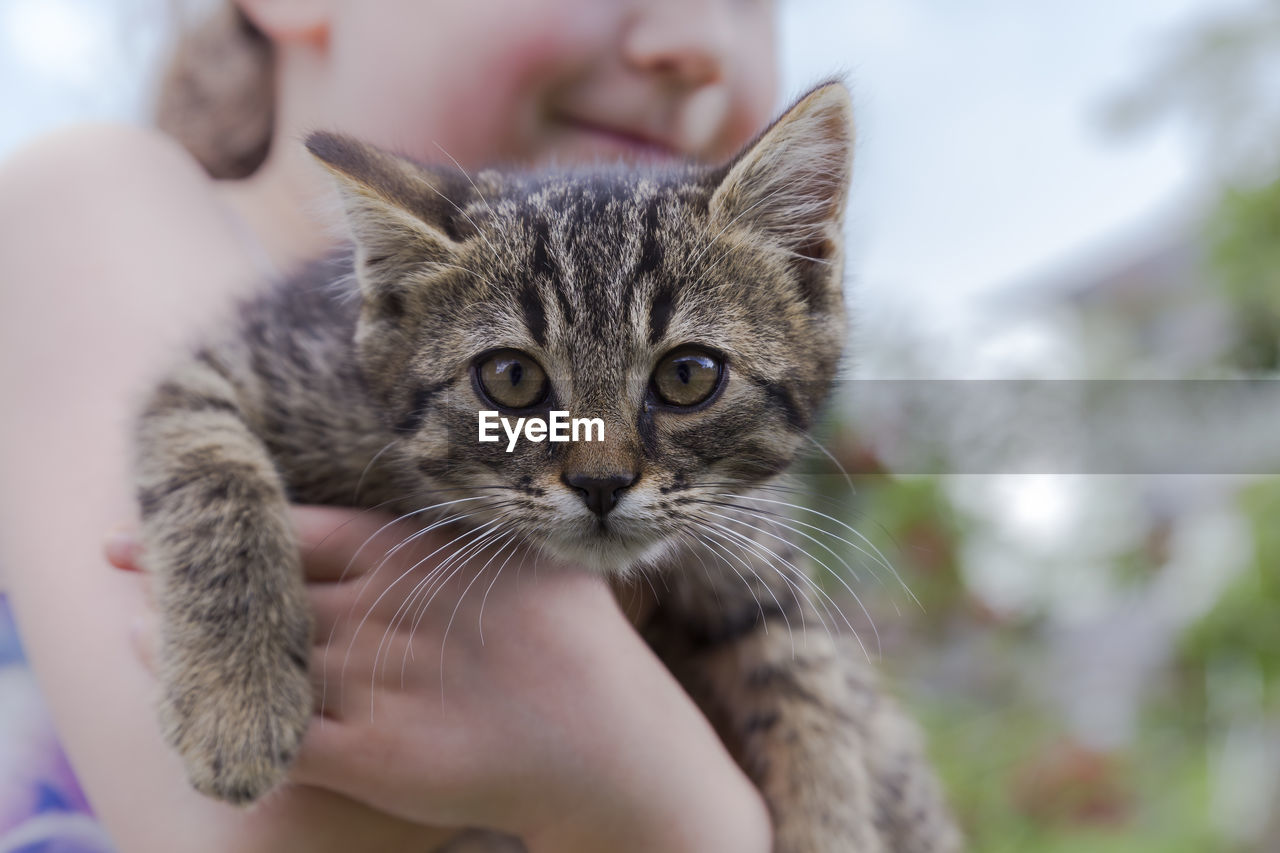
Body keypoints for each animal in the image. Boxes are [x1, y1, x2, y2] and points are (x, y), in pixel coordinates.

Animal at [137, 84, 962, 850]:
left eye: (689, 374)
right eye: (510, 378)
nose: (601, 483)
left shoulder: (749, 542)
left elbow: (805, 667)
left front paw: (833, 817)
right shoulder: (232, 370)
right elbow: (212, 473)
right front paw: (237, 706)